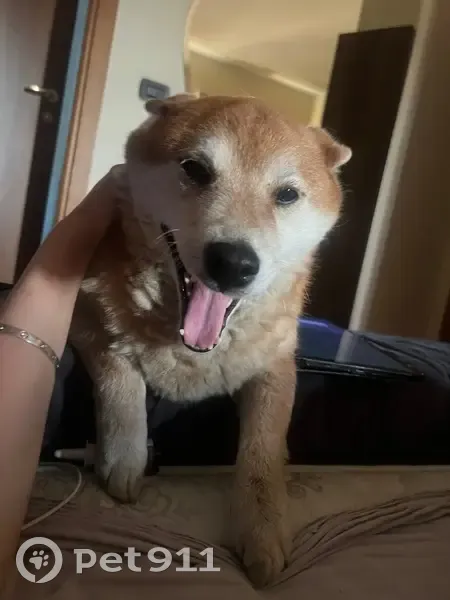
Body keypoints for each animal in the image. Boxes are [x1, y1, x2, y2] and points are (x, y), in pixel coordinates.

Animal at [70, 93, 351, 586]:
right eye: (196, 169)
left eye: (287, 195)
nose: (234, 262)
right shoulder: (84, 316)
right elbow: (119, 376)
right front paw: (124, 456)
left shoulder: (276, 364)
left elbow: (263, 445)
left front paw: (262, 527)